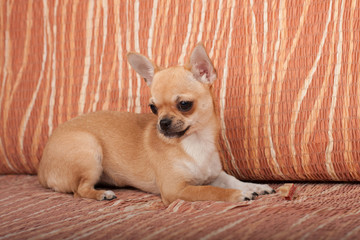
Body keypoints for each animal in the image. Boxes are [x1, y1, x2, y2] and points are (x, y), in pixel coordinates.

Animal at [38, 43, 274, 204]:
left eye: (184, 104)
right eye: (153, 108)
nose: (163, 122)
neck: (195, 142)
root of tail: (41, 169)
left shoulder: (214, 175)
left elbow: (232, 179)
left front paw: (255, 186)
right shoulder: (176, 189)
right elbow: (211, 191)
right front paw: (239, 194)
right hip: (89, 149)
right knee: (79, 190)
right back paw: (102, 193)